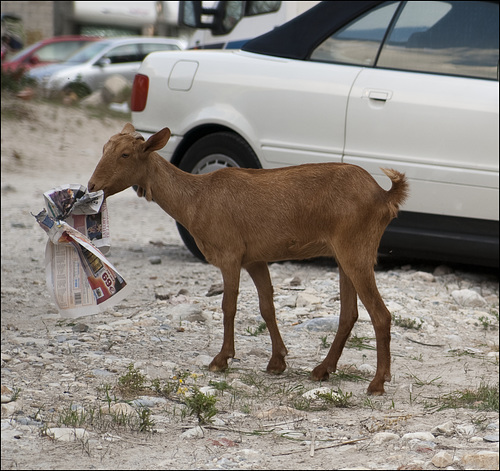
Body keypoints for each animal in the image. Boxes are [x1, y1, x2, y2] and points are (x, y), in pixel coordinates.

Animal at [90, 124, 408, 394]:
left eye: (125, 154)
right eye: (104, 148)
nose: (92, 186)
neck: (196, 200)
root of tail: (384, 197)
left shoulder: (229, 254)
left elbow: (228, 306)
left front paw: (221, 359)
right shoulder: (254, 258)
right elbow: (267, 306)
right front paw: (277, 361)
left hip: (357, 249)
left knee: (380, 314)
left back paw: (377, 382)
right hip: (344, 255)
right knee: (349, 314)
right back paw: (322, 369)